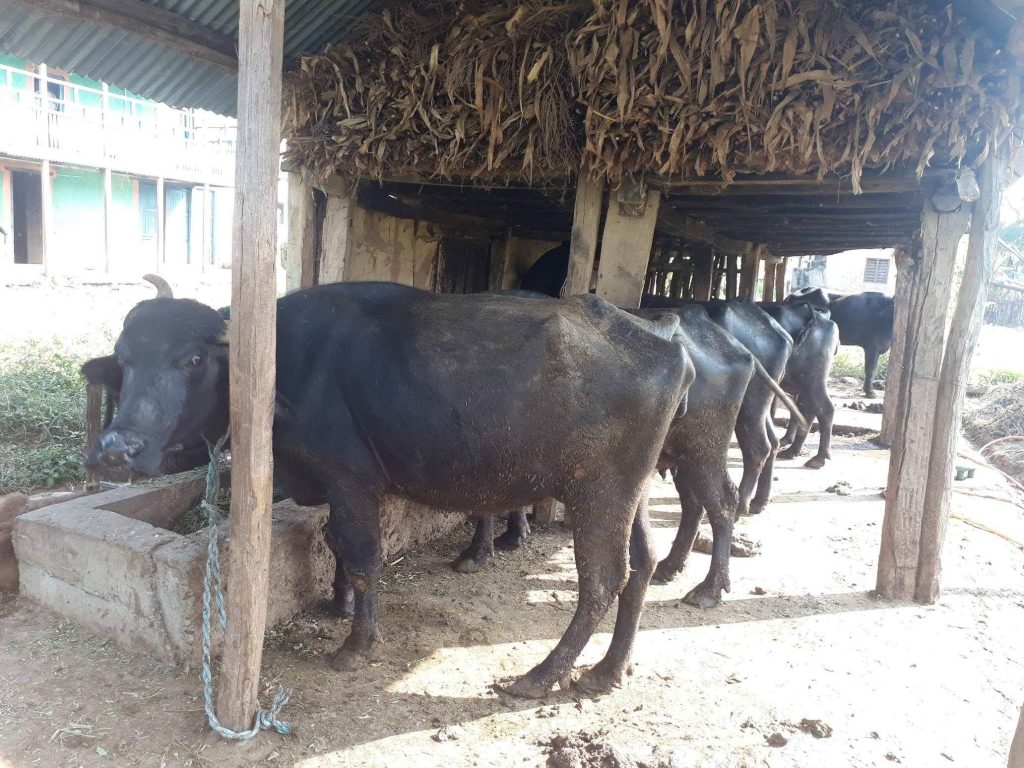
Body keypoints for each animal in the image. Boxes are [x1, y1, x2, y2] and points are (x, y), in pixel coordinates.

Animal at [81, 280, 694, 698]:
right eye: (125, 359)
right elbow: (333, 542)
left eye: (191, 358)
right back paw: (609, 670)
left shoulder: (350, 479)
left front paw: (355, 643)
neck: (286, 362)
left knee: (603, 579)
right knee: (642, 563)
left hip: (600, 493)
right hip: (633, 492)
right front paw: (338, 603)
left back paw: (540, 676)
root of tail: (666, 340)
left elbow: (362, 556)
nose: (114, 449)